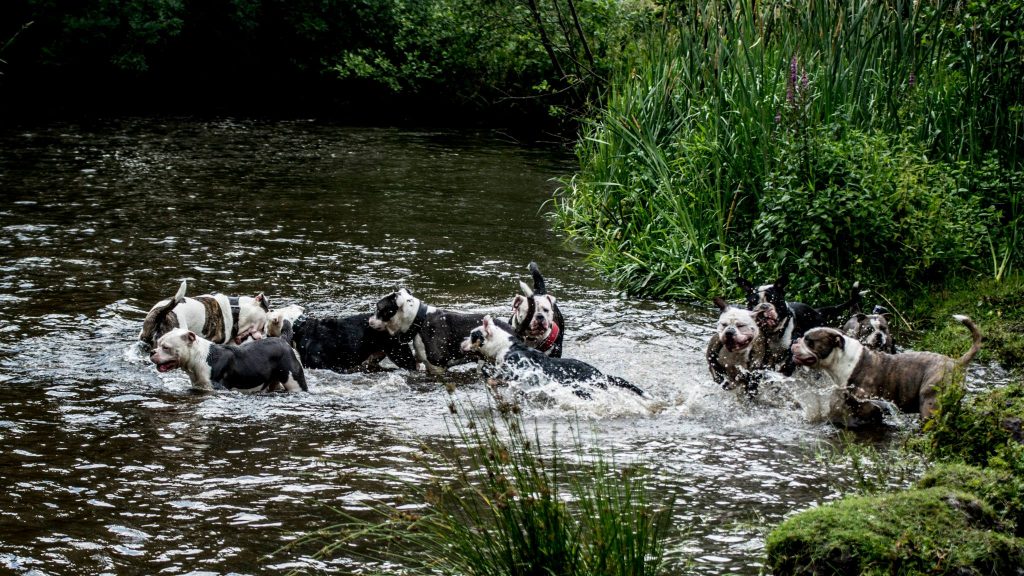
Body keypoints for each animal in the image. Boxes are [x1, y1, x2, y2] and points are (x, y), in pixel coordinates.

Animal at [148, 325, 305, 391]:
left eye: (166, 347)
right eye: (158, 343)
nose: (152, 352)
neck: (200, 357)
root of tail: (283, 340)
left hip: (294, 381)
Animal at [460, 313, 643, 399]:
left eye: (472, 336)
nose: (461, 343)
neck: (505, 346)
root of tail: (600, 374)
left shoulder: (513, 373)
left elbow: (493, 380)